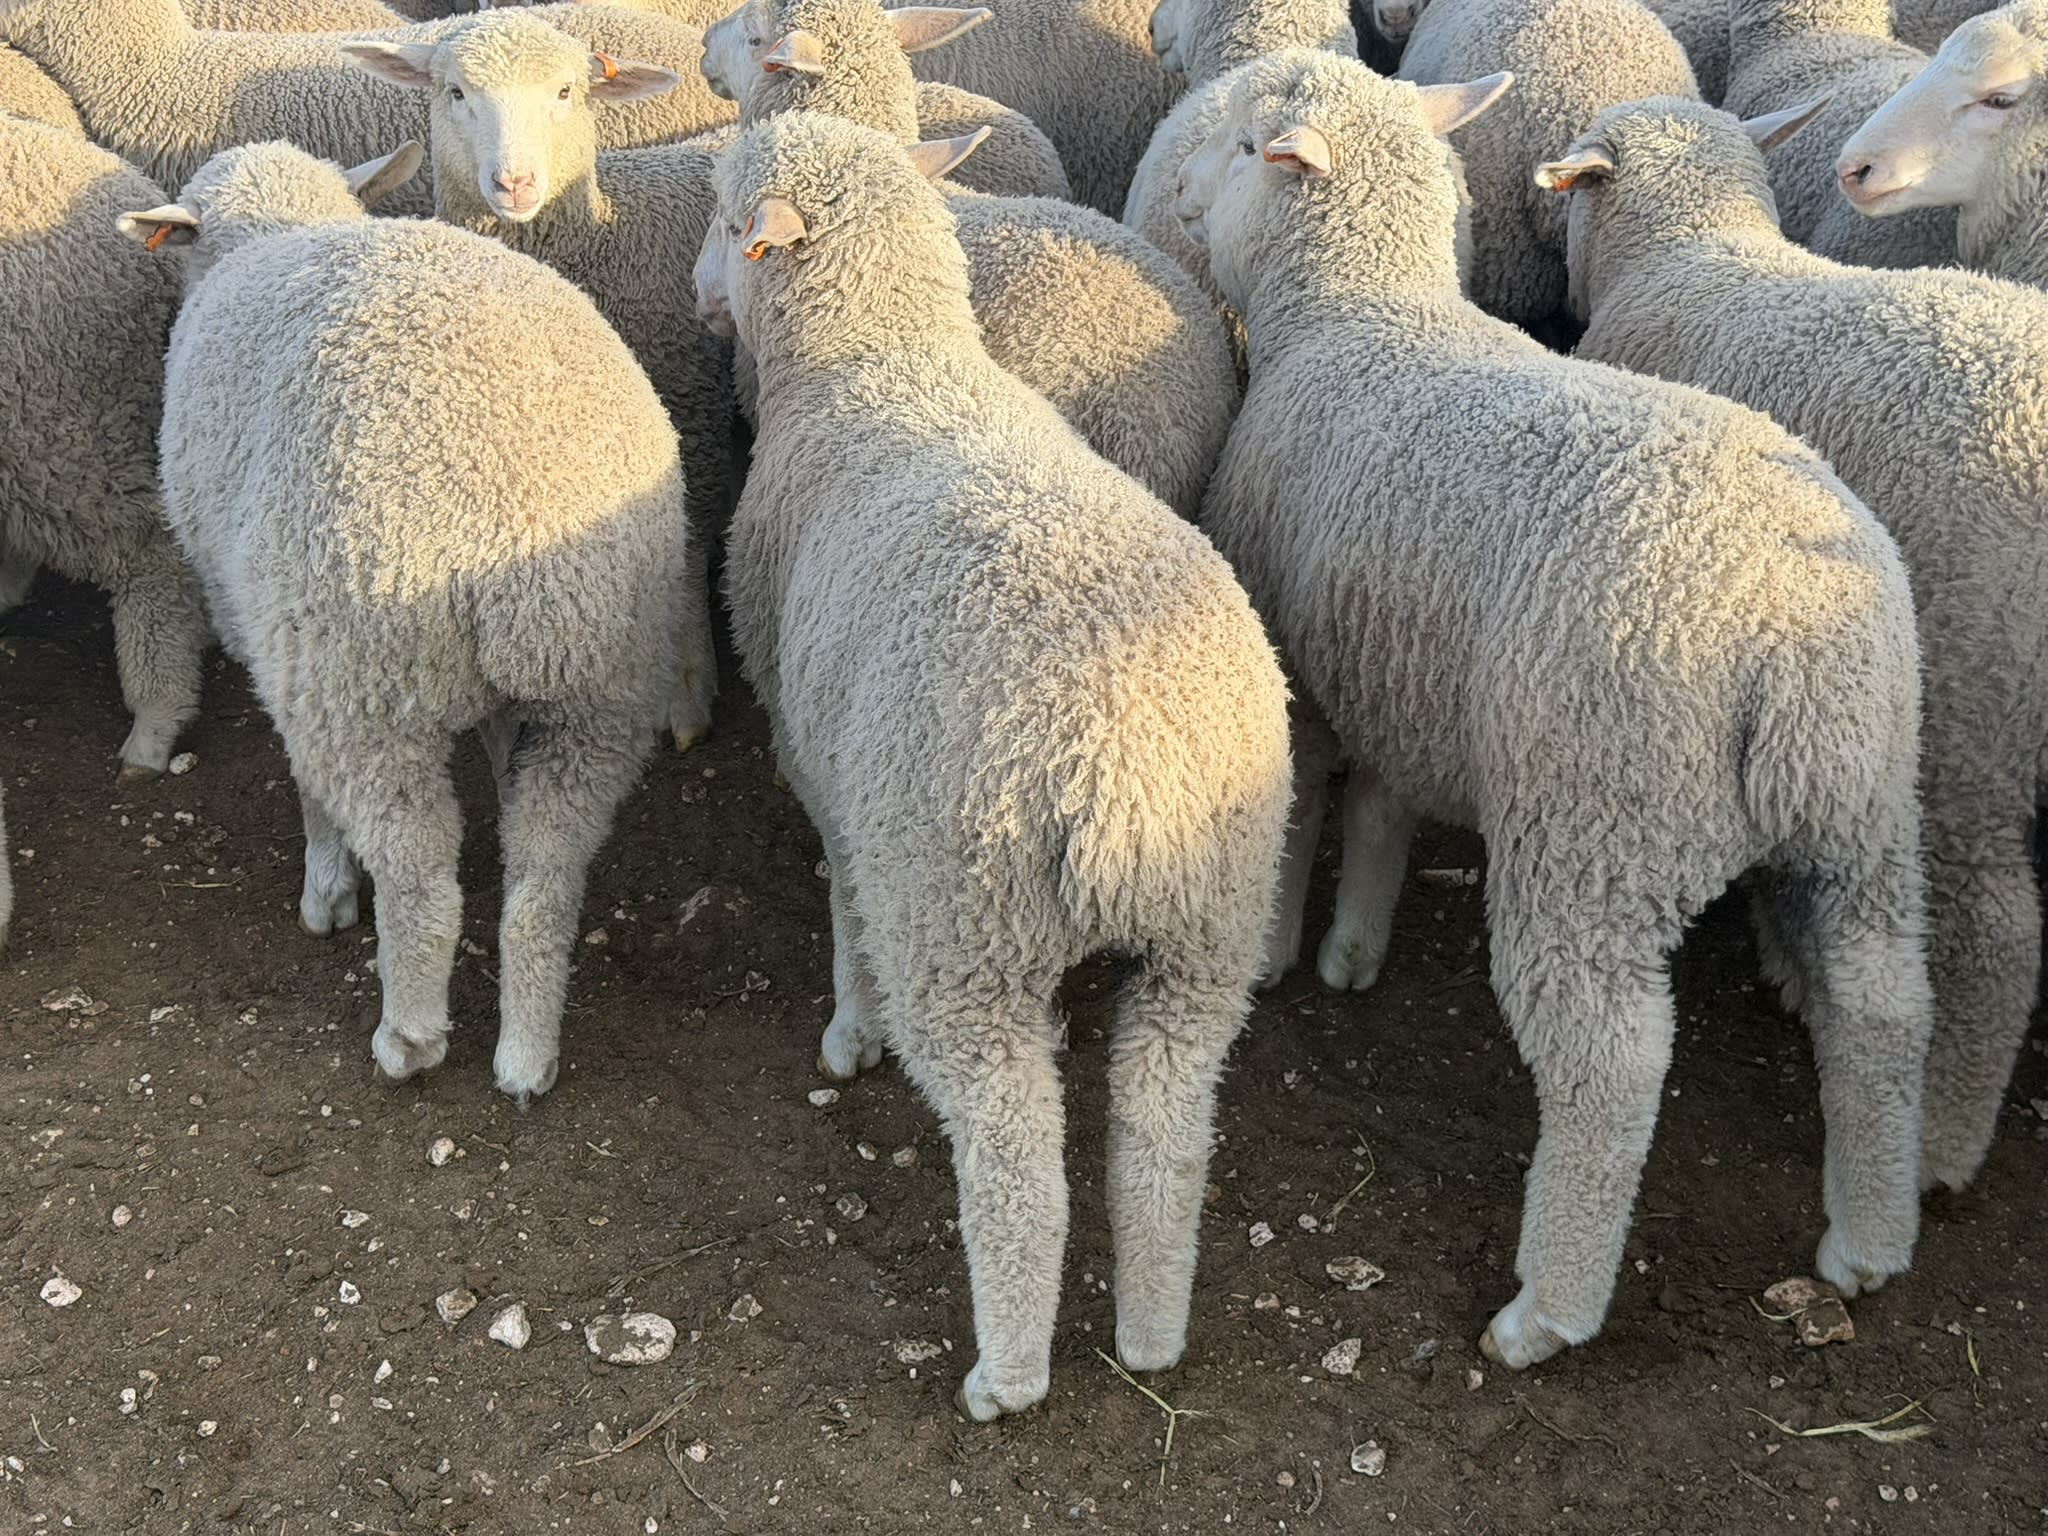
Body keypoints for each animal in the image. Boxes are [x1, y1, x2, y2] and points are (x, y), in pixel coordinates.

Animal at [119, 138, 708, 1103]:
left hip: (366, 682)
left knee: (421, 874)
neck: (280, 229)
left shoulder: (274, 642)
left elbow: (309, 788)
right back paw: (527, 1053)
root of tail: (517, 526)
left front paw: (326, 890)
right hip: (600, 683)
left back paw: (410, 1035)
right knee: (546, 872)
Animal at [343, 12, 724, 748]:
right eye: (456, 92)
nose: (514, 183)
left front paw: (689, 687)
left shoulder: (692, 413)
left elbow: (687, 552)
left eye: (567, 92)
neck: (602, 237)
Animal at [694, 108, 1291, 1419]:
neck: (882, 358)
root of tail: (1119, 774)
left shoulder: (829, 770)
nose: (700, 292)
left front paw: (847, 1028)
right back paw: (1151, 1336)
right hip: (1208, 932)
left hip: (961, 924)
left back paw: (1005, 1374)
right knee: (1162, 1130)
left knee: (1014, 1158)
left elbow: (841, 901)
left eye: (723, 217)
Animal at [1177, 50, 1933, 1367]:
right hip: (1866, 812)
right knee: (1883, 1004)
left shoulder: (1301, 674)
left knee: (1608, 1065)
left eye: (1232, 146)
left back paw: (1545, 1310)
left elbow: (1304, 813)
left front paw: (1273, 957)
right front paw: (1352, 951)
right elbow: (1380, 812)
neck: (1358, 314)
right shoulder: (1399, 669)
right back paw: (1866, 1241)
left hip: (1591, 824)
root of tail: (1788, 636)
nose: (1172, 191)